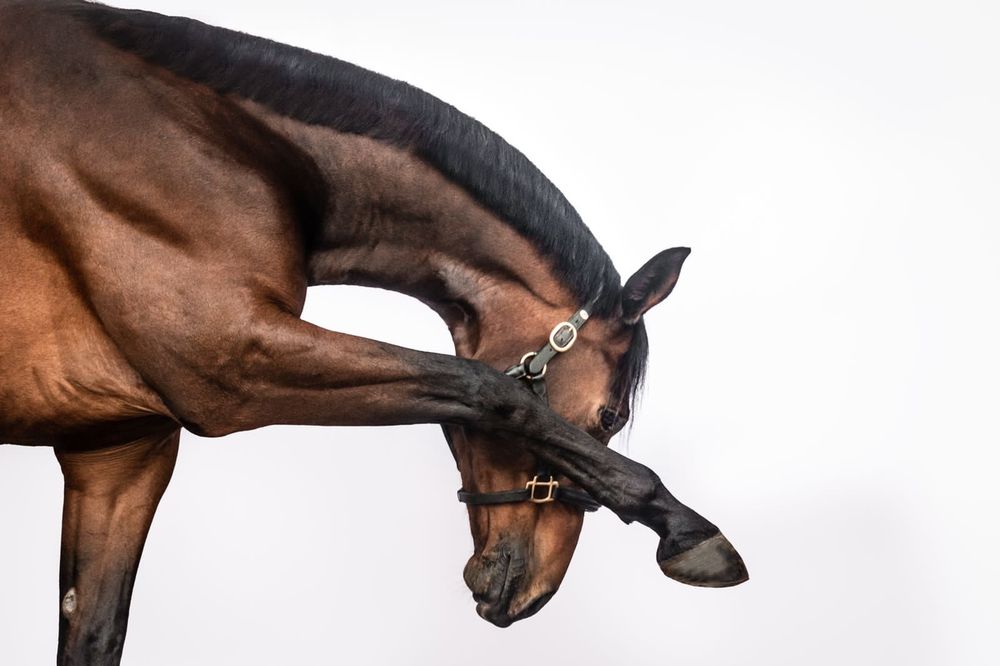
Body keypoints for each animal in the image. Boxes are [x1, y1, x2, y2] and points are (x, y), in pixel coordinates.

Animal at [0, 2, 748, 663]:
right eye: (610, 417)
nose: (526, 593)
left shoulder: (118, 453)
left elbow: (95, 634)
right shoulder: (227, 359)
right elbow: (490, 390)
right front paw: (688, 530)